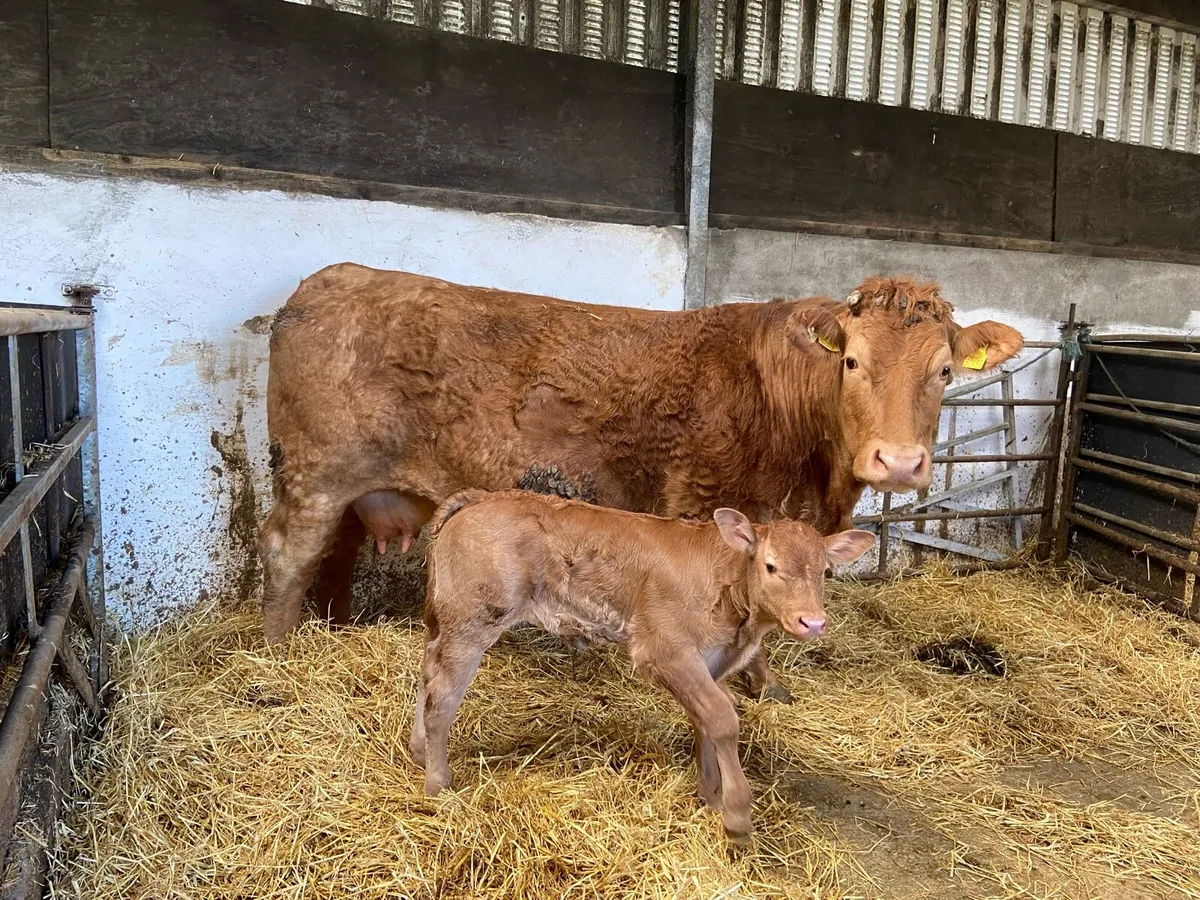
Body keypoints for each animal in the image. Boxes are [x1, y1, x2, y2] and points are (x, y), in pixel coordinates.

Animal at [258, 264, 1024, 701]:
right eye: (854, 363)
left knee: (335, 556)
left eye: (945, 370)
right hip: (317, 471)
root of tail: (330, 279)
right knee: (290, 552)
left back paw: (332, 630)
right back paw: (276, 652)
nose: (898, 462)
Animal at [407, 489, 876, 842]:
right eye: (770, 565)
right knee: (442, 699)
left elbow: (706, 721)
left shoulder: (709, 664)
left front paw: (710, 796)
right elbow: (724, 719)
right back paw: (439, 785)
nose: (812, 621)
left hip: (445, 623)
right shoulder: (663, 650)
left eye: (825, 571)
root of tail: (481, 496)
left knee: (427, 676)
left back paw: (417, 752)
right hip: (472, 621)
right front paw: (736, 815)